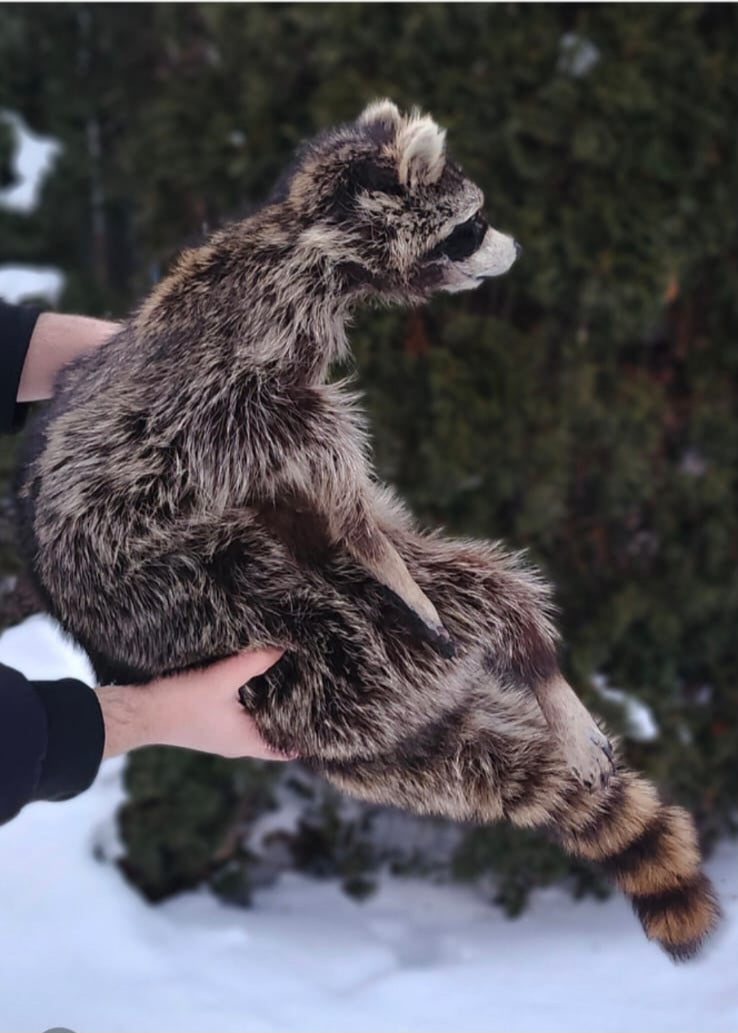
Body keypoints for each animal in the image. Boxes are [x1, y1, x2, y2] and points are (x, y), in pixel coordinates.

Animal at [15, 100, 719, 958]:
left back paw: (542, 675)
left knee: (482, 588)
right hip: (174, 593)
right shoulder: (239, 397)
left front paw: (401, 565)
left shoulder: (269, 403)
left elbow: (336, 504)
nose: (518, 248)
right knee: (313, 617)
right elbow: (335, 489)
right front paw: (379, 553)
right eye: (474, 226)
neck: (305, 245)